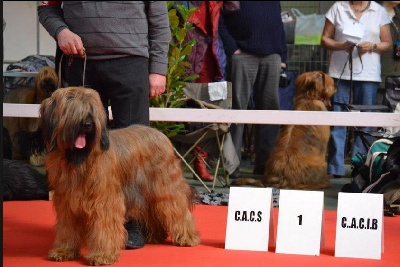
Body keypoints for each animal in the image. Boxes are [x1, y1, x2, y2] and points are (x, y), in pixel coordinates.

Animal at [40, 87, 200, 266]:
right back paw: (155, 236)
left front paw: (102, 255)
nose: (87, 124)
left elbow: (104, 227)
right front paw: (64, 251)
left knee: (177, 209)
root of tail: (160, 134)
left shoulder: (104, 201)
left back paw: (188, 237)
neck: (79, 160)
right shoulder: (66, 202)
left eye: (91, 110)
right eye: (71, 108)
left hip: (165, 188)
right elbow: (67, 228)